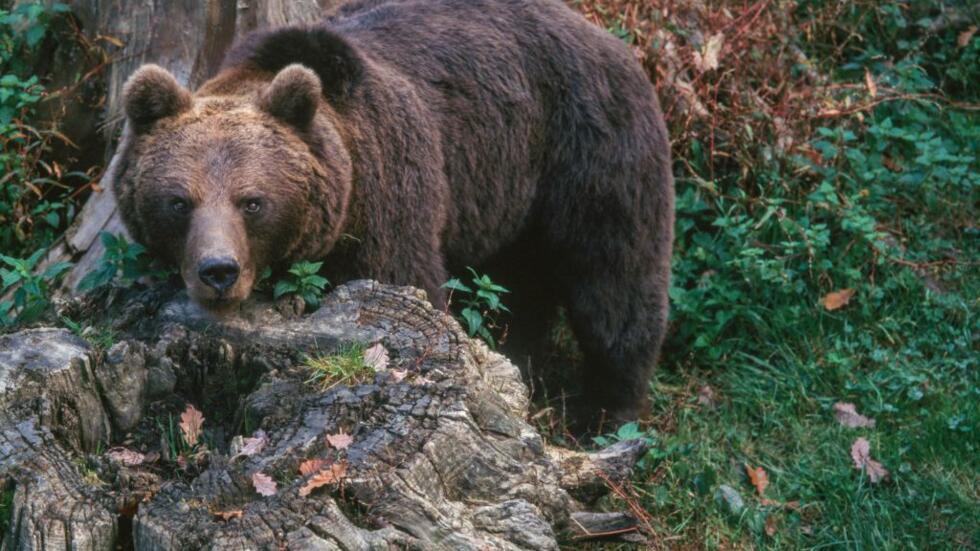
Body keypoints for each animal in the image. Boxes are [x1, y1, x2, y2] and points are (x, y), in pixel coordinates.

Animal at [112, 0, 674, 427]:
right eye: (178, 201)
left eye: (252, 201)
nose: (219, 272)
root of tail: (609, 38)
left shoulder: (389, 195)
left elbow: (406, 280)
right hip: (510, 193)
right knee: (522, 283)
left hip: (586, 151)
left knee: (612, 281)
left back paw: (609, 411)